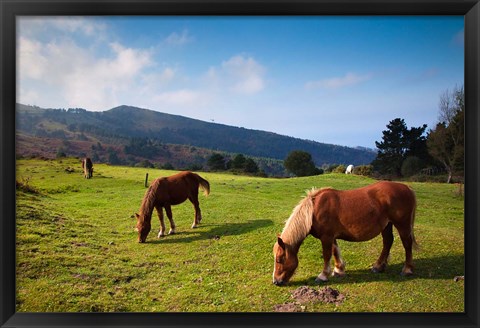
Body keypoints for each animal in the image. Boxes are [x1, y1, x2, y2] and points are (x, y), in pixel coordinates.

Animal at [272, 181, 418, 286]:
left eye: (279, 259)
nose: (276, 282)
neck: (313, 211)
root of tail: (407, 188)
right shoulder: (332, 236)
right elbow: (335, 251)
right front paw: (338, 270)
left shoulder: (326, 237)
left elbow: (327, 255)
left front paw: (323, 275)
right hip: (387, 225)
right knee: (388, 241)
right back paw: (378, 266)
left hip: (402, 224)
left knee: (407, 244)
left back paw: (407, 269)